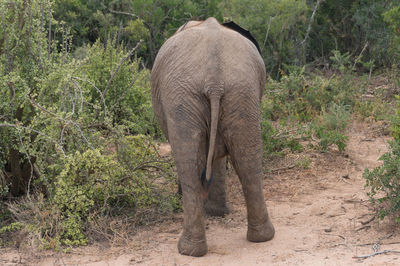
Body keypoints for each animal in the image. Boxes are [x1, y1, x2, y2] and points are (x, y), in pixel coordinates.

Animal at [150, 17, 276, 256]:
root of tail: (214, 81)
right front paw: (217, 212)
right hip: (241, 92)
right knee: (248, 158)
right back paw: (262, 237)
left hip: (184, 95)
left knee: (188, 162)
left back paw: (187, 249)